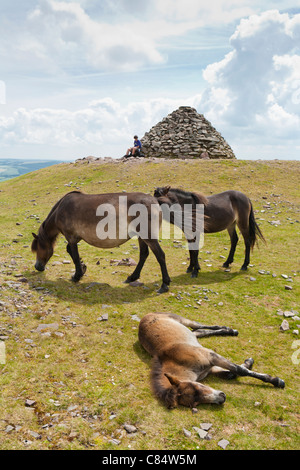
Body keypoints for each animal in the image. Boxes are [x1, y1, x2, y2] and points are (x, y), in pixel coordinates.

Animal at [32, 189, 171, 292]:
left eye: (38, 247)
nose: (37, 266)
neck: (61, 209)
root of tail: (155, 200)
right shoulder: (75, 238)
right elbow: (71, 252)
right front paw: (82, 267)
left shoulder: (70, 237)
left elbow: (74, 256)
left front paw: (76, 276)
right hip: (141, 237)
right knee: (143, 254)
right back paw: (132, 277)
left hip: (147, 236)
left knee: (160, 255)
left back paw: (164, 284)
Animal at [138, 314, 284, 410]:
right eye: (195, 403)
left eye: (196, 387)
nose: (222, 398)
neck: (178, 361)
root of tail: (145, 317)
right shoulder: (210, 368)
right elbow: (232, 373)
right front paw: (248, 362)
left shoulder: (211, 356)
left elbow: (239, 370)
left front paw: (277, 381)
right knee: (198, 331)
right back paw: (229, 331)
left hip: (181, 319)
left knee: (198, 325)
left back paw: (230, 330)